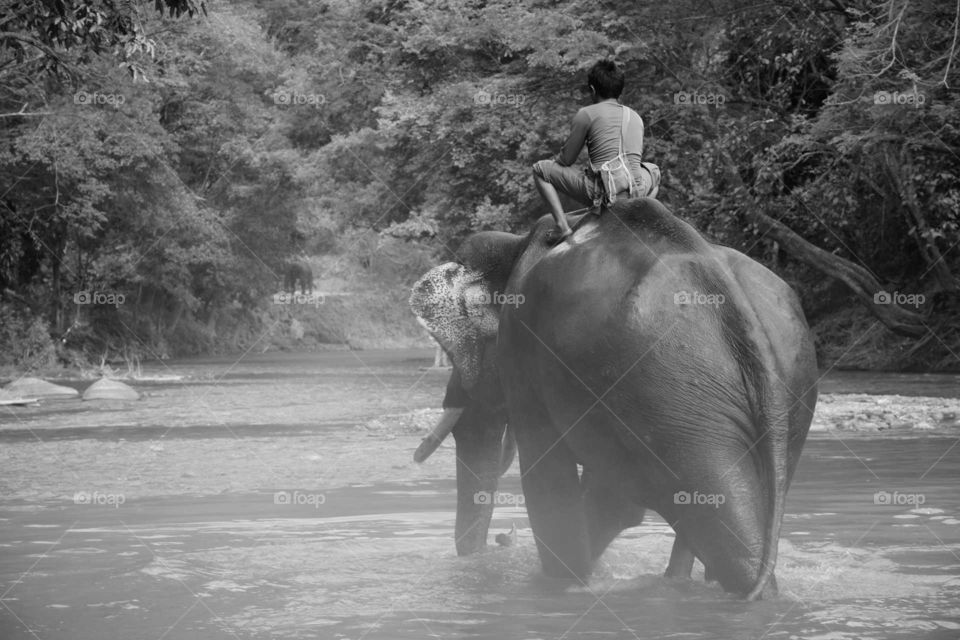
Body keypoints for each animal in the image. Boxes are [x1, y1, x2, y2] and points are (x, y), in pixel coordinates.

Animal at [409, 198, 818, 600]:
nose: (497, 540)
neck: (516, 244)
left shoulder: (527, 352)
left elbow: (552, 480)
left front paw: (562, 585)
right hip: (778, 394)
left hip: (671, 396)